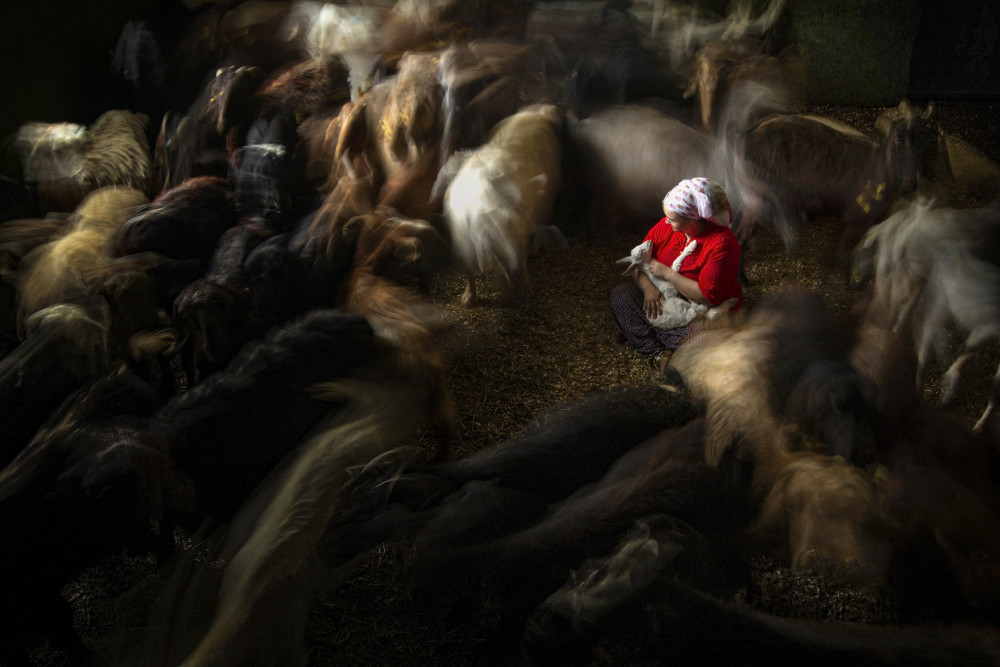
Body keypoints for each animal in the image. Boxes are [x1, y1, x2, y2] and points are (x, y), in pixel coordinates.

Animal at [612, 241, 740, 332]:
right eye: (643, 251)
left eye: (640, 246)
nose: (649, 241)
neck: (648, 266)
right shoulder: (670, 277)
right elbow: (676, 263)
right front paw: (692, 246)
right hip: (684, 308)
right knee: (706, 312)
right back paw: (730, 301)